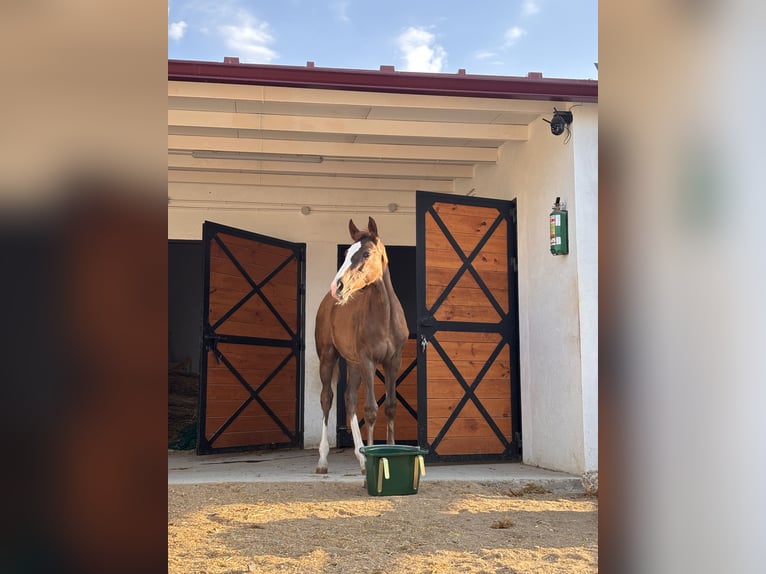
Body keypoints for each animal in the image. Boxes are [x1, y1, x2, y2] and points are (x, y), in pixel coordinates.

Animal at [314, 217, 409, 474]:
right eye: (347, 252)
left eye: (366, 253)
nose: (337, 286)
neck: (385, 317)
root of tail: (327, 302)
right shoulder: (369, 361)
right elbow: (371, 410)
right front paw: (374, 461)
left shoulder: (393, 361)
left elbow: (390, 407)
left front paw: (386, 453)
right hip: (328, 357)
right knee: (327, 398)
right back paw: (323, 461)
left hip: (352, 362)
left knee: (349, 399)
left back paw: (360, 457)